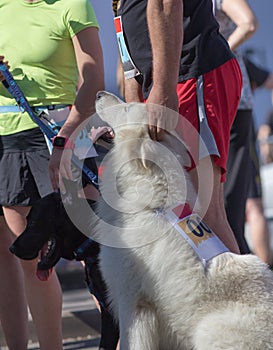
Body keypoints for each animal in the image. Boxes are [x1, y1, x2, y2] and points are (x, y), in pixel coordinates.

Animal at [93, 91, 272, 350]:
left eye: (127, 108)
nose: (98, 94)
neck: (153, 206)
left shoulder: (132, 300)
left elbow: (130, 342)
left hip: (207, 329)